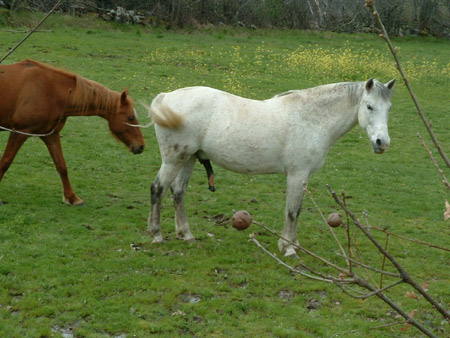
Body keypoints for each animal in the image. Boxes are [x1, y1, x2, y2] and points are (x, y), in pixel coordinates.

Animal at [0, 59, 144, 205]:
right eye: (130, 118)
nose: (141, 146)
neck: (48, 90)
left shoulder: (51, 135)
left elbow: (61, 166)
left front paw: (72, 197)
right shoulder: (20, 132)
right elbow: (5, 162)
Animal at [147, 79, 394, 258]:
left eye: (388, 108)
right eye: (369, 106)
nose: (382, 143)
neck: (312, 118)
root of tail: (165, 97)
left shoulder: (303, 177)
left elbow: (297, 211)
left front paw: (294, 243)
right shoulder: (296, 175)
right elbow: (292, 211)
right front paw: (288, 249)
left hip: (188, 159)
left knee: (178, 192)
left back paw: (186, 235)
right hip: (173, 160)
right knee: (158, 189)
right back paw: (156, 235)